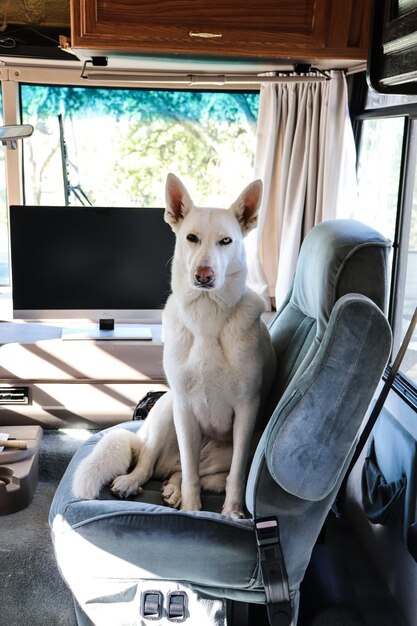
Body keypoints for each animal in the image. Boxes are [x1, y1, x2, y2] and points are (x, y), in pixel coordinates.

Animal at [73, 172, 274, 516]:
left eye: (226, 241)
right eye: (191, 238)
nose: (203, 275)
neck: (207, 317)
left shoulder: (247, 410)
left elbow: (234, 473)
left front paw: (231, 511)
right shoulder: (184, 407)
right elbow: (189, 470)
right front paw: (192, 508)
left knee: (191, 472)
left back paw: (172, 489)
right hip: (168, 410)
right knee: (153, 463)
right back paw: (135, 482)